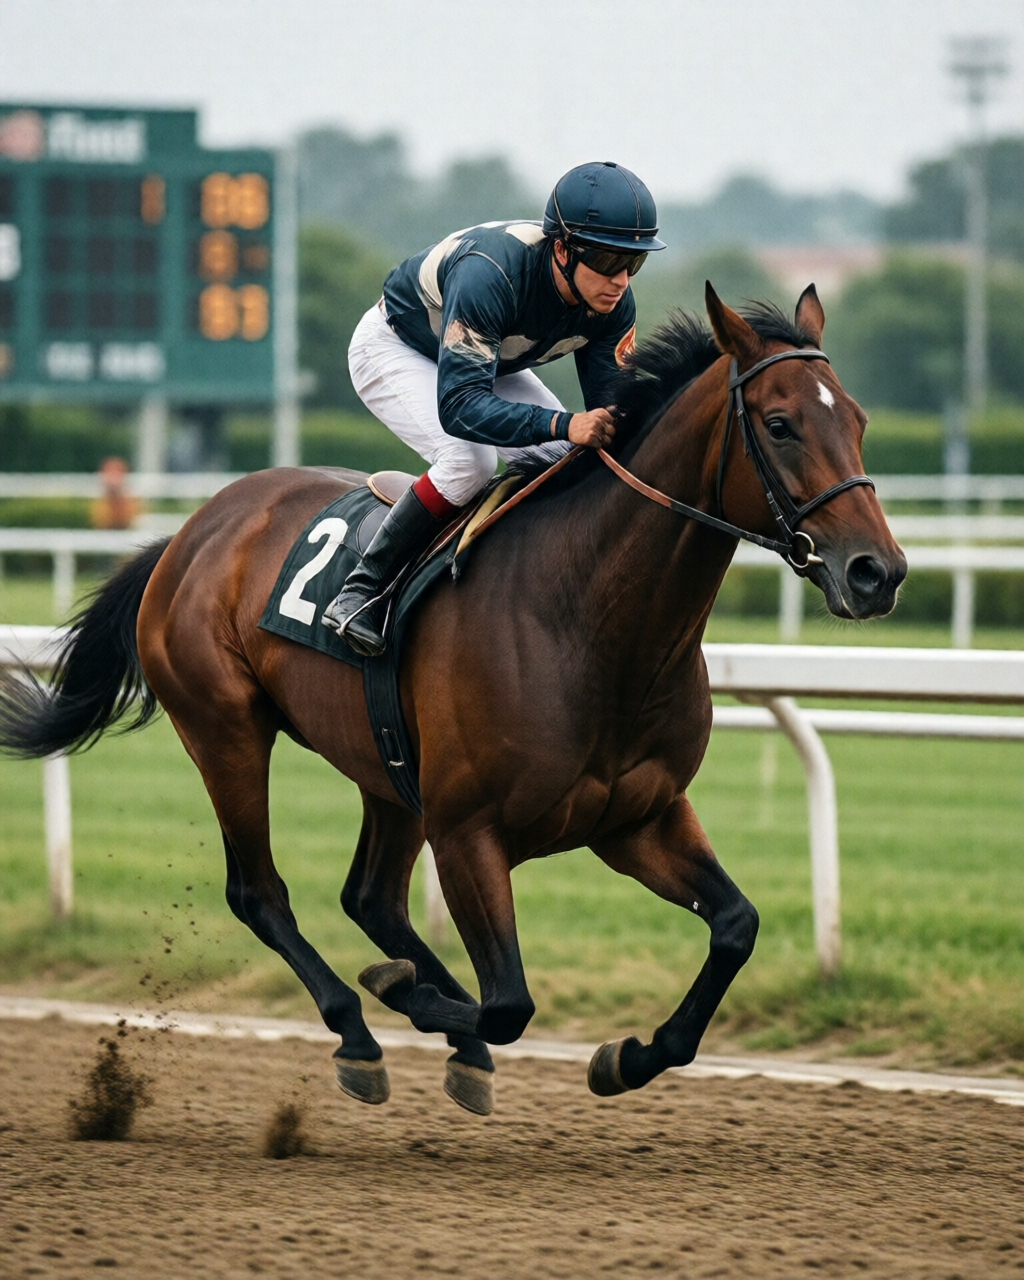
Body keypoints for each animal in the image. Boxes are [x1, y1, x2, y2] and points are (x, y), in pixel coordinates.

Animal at [0, 284, 906, 1115]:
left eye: (859, 420)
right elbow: (508, 1001)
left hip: (385, 765)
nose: (878, 572)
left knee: (368, 896)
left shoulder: (636, 817)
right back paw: (360, 1031)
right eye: (781, 424)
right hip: (225, 729)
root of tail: (191, 532)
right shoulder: (470, 830)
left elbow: (735, 926)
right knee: (261, 893)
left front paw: (625, 1057)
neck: (590, 621)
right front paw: (409, 997)